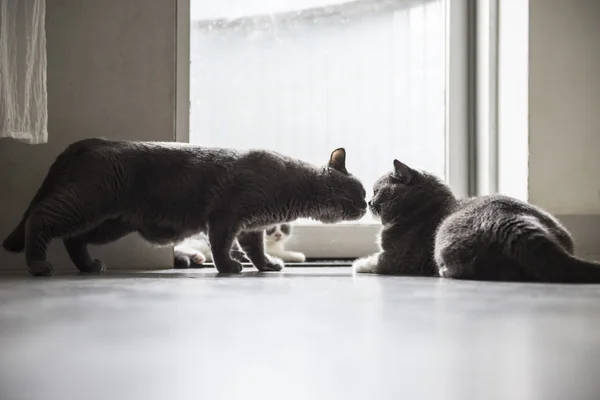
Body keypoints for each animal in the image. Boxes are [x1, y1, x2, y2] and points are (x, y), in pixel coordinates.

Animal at [173, 223, 304, 268]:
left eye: (283, 227)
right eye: (270, 229)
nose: (278, 234)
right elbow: (281, 253)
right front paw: (298, 255)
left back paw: (195, 257)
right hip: (200, 242)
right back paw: (196, 255)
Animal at [354, 158, 600, 282]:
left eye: (376, 191)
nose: (369, 201)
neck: (421, 210)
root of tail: (509, 220)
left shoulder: (398, 258)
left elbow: (372, 262)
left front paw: (358, 264)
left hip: (445, 240)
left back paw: (445, 271)